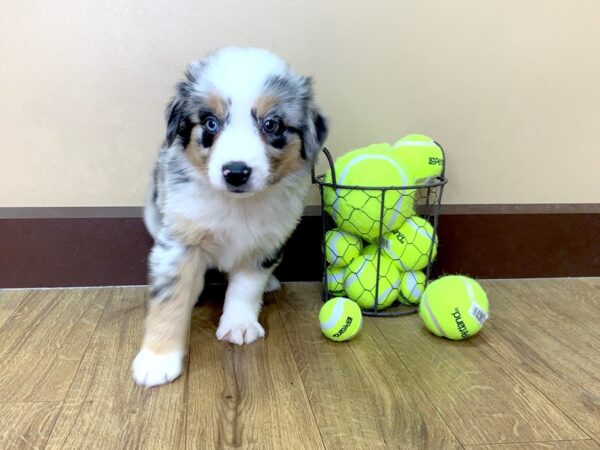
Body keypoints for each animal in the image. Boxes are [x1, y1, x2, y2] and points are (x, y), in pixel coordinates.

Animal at [133, 48, 328, 386]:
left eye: (272, 125)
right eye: (210, 123)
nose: (236, 172)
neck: (237, 205)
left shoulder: (265, 243)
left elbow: (246, 287)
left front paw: (239, 324)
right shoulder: (179, 241)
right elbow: (169, 299)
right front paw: (157, 359)